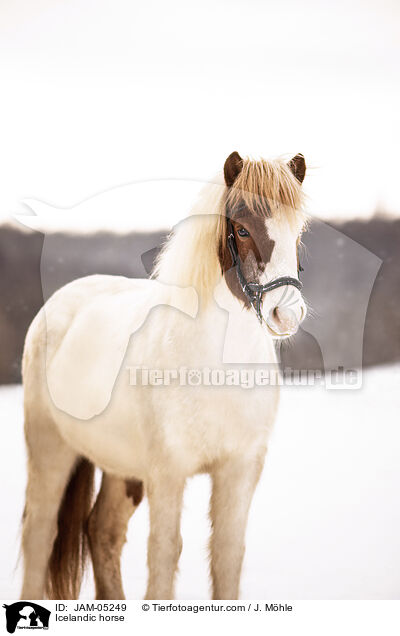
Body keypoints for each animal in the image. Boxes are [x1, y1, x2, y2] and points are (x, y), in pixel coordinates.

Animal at [20, 152, 308, 600]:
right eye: (242, 229)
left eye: (299, 230)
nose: (287, 313)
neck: (217, 371)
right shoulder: (167, 472)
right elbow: (164, 554)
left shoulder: (239, 469)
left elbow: (227, 555)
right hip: (51, 450)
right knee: (40, 535)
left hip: (120, 469)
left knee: (102, 531)